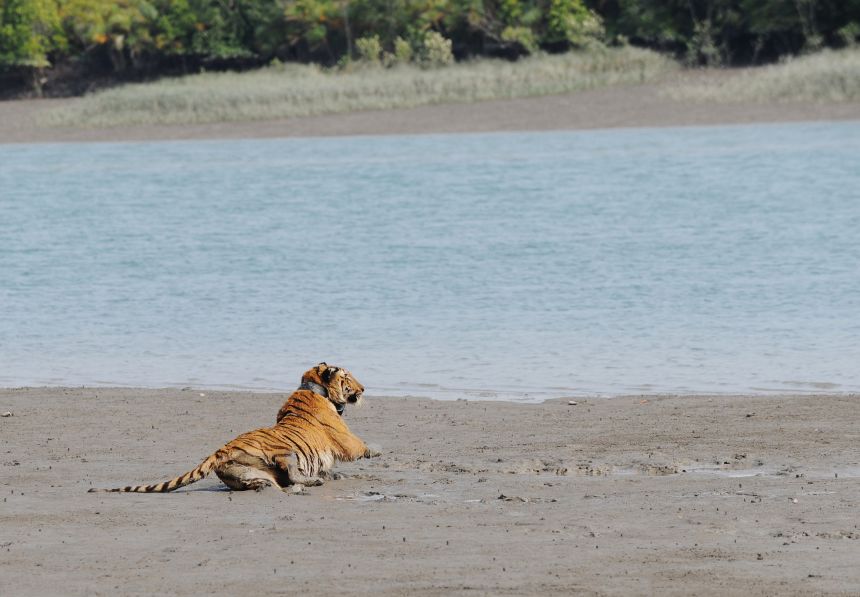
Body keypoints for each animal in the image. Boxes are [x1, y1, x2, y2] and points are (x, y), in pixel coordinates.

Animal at [89, 363, 379, 493]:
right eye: (347, 377)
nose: (364, 389)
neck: (314, 387)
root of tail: (222, 450)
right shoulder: (344, 436)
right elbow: (359, 445)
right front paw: (375, 451)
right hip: (286, 452)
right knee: (292, 475)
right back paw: (311, 482)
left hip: (249, 472)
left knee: (272, 482)